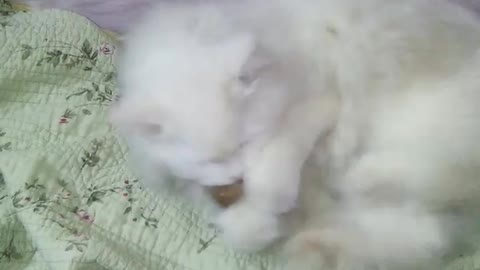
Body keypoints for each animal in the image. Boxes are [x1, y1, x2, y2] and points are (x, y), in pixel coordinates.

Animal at [110, 0, 480, 268]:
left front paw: (270, 198)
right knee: (417, 234)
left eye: (246, 142)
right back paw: (314, 246)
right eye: (209, 160)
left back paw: (357, 177)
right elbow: (237, 225)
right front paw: (258, 225)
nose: (236, 180)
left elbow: (282, 151)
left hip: (422, 127)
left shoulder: (320, 102)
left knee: (431, 172)